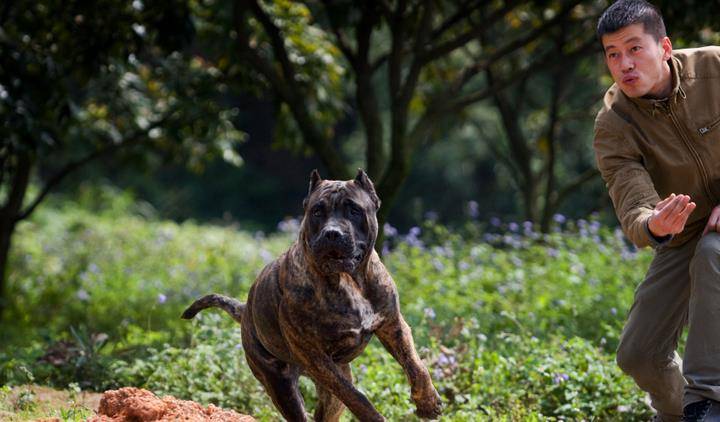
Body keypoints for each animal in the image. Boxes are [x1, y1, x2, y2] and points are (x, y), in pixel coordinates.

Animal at [181, 169, 438, 422]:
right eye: (317, 211)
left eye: (354, 210)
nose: (332, 233)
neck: (347, 280)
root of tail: (246, 311)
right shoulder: (316, 357)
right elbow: (355, 396)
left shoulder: (393, 325)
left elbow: (416, 365)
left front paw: (427, 403)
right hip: (282, 386)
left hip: (332, 394)